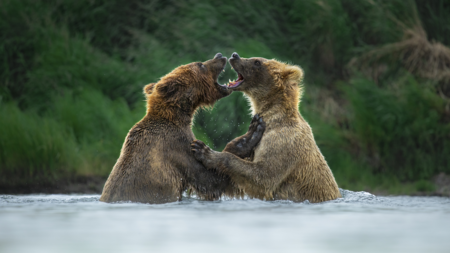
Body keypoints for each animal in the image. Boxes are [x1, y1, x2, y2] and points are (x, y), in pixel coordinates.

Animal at [191, 52, 342, 204]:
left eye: (257, 62)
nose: (234, 55)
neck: (272, 116)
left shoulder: (283, 141)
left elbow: (263, 177)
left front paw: (204, 151)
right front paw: (246, 138)